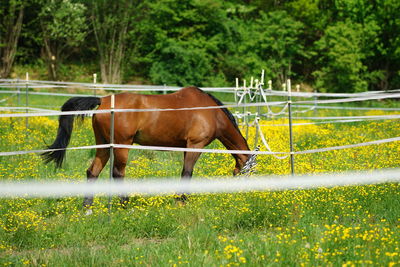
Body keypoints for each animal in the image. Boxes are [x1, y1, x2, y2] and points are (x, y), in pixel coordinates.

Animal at [42, 86, 252, 207]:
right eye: (249, 171)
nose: (244, 194)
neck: (211, 112)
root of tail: (103, 101)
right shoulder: (195, 146)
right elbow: (187, 173)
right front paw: (181, 201)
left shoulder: (186, 148)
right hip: (121, 146)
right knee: (118, 174)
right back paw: (125, 205)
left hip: (103, 145)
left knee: (92, 171)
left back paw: (87, 208)